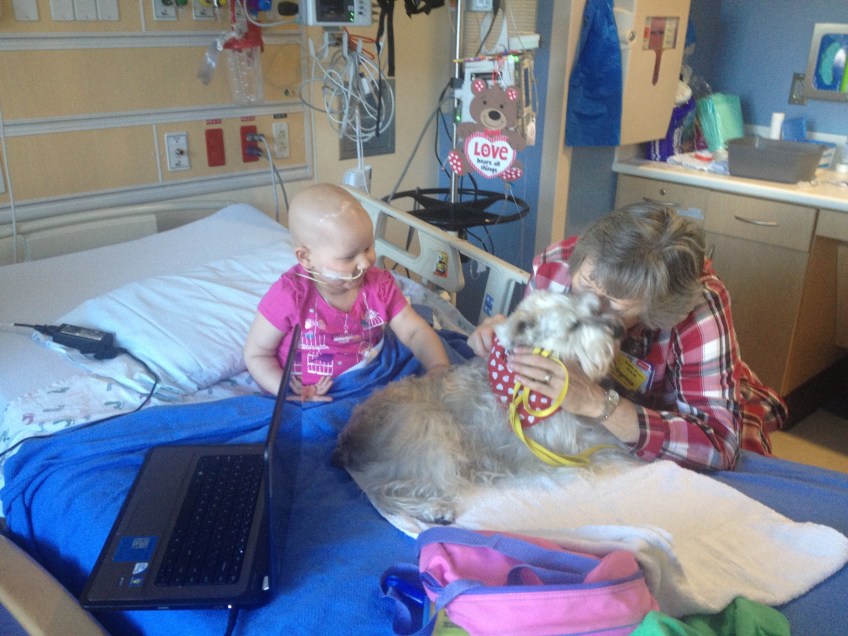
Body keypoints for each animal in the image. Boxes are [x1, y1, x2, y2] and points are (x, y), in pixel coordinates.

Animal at [333, 290, 629, 524]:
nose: (618, 330)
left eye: (594, 309)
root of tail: (348, 442)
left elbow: (606, 439)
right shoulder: (555, 449)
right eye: (574, 325)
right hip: (430, 428)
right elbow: (599, 454)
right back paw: (433, 509)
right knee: (384, 491)